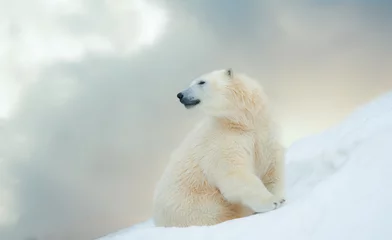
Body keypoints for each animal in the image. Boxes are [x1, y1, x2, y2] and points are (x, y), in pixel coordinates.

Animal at [152, 68, 284, 227]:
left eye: (201, 82)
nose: (180, 95)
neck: (242, 122)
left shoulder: (263, 133)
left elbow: (271, 166)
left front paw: (279, 197)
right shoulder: (222, 141)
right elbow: (233, 174)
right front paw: (272, 202)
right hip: (194, 204)